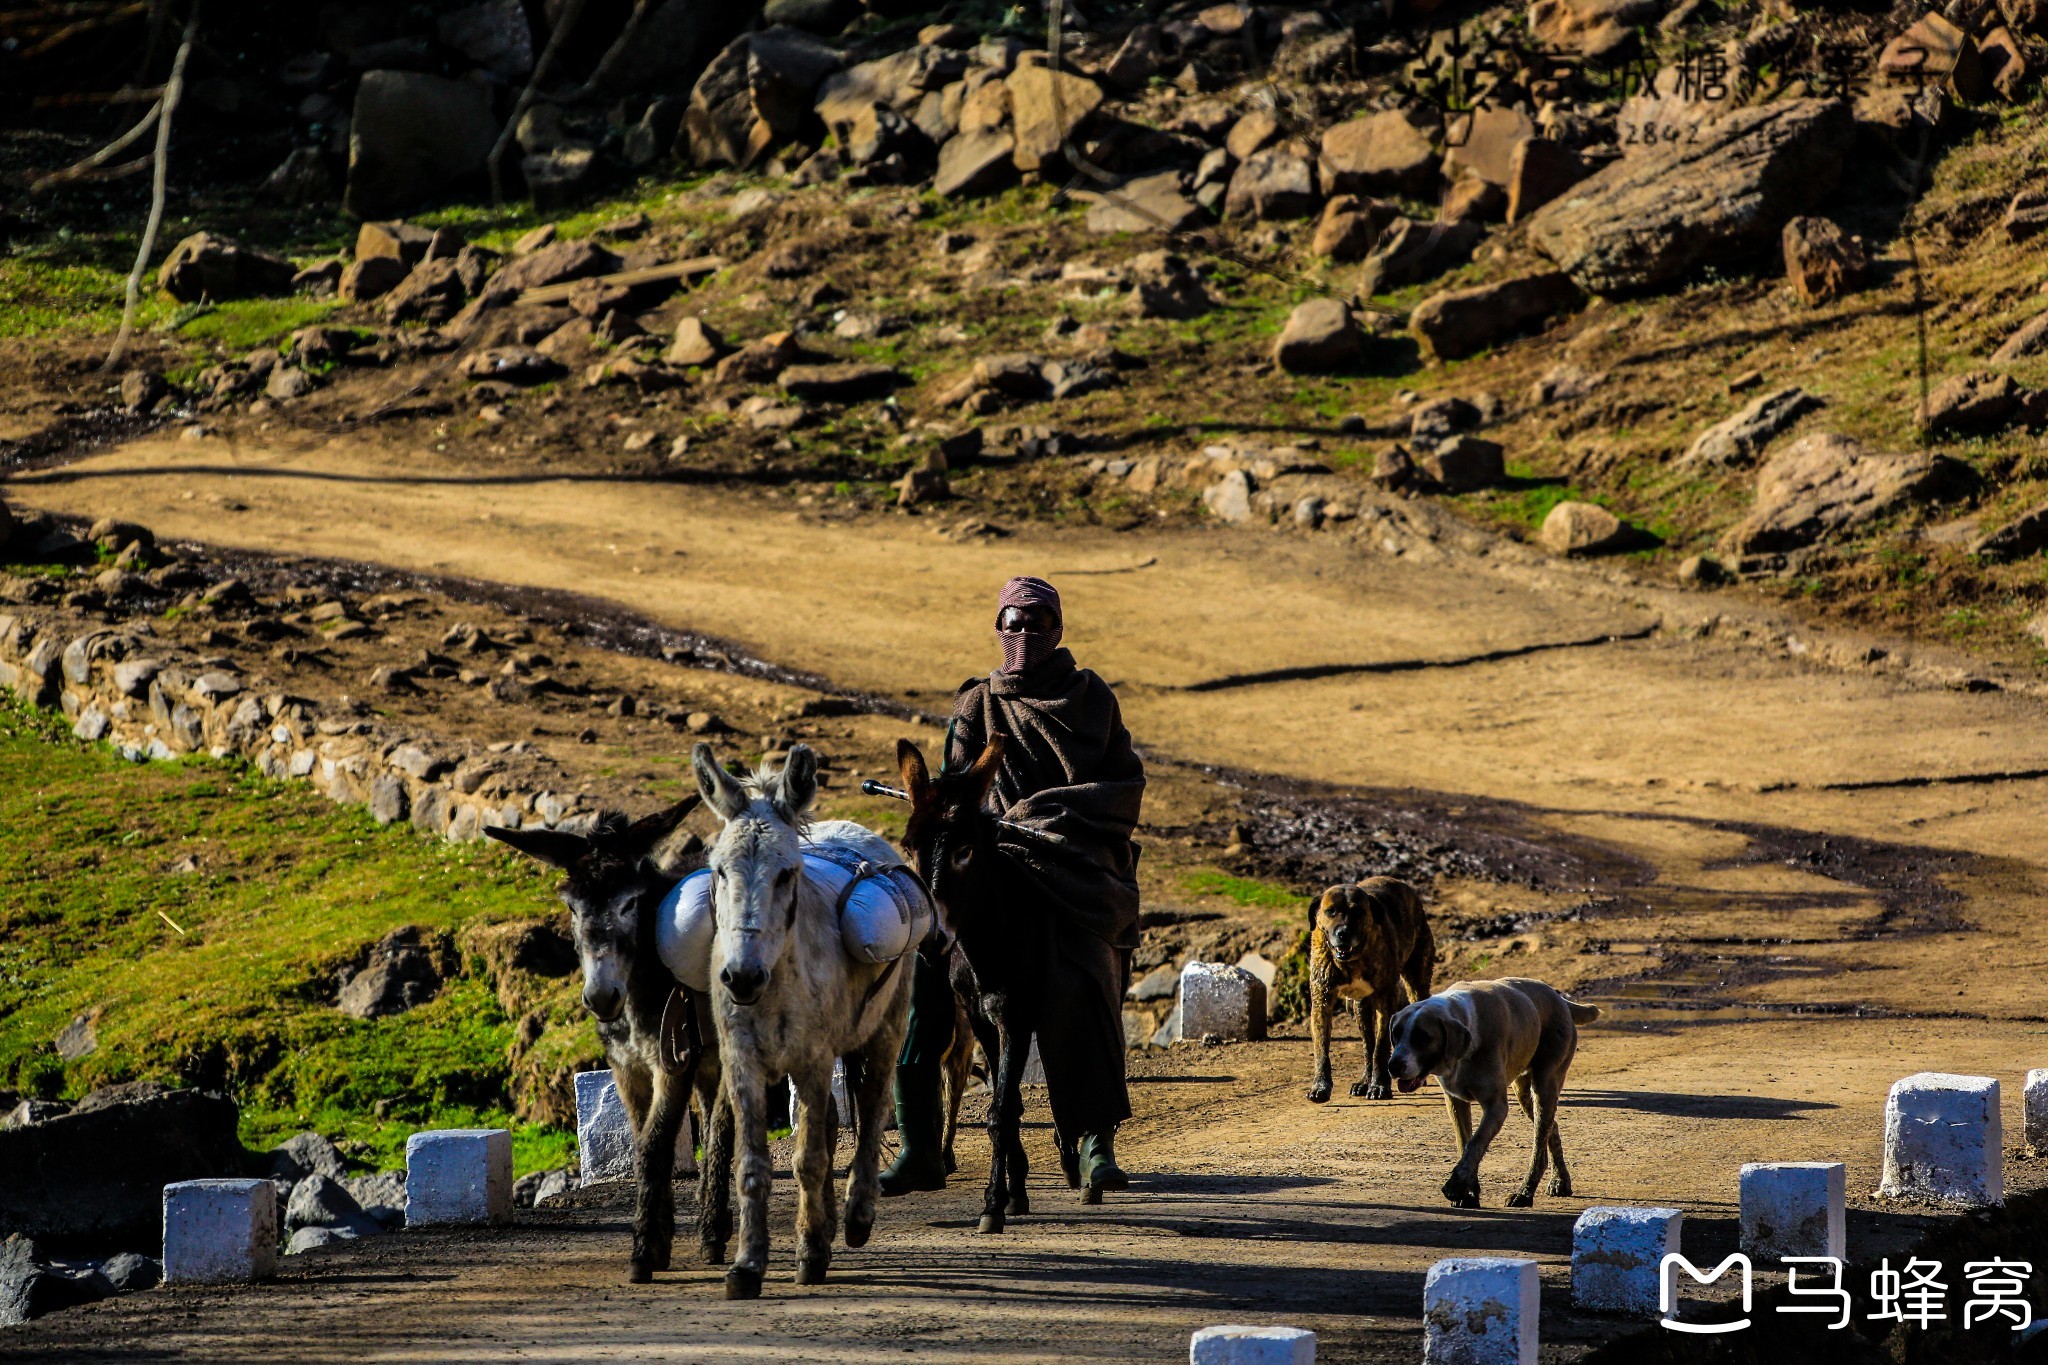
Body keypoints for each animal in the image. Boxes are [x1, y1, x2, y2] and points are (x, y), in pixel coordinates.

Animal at [1302, 879, 1433, 1105]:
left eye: (1358, 912)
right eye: (1330, 911)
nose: (1343, 933)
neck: (1351, 961)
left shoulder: (1385, 1001)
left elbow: (1381, 1047)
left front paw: (1380, 1086)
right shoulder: (1322, 1001)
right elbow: (1322, 1050)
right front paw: (1320, 1087)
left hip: (1417, 982)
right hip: (1360, 1008)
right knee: (1367, 1045)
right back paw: (1364, 1081)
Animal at [1392, 978, 1597, 1211]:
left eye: (1422, 1037)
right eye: (1395, 1034)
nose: (1393, 1065)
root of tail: (1559, 998)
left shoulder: (1495, 1107)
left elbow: (1476, 1143)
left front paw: (1456, 1184)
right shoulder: (1455, 1102)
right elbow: (1465, 1144)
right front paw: (1469, 1192)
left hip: (1545, 1082)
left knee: (1540, 1140)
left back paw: (1525, 1193)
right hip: (1524, 1092)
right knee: (1550, 1128)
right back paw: (1559, 1180)